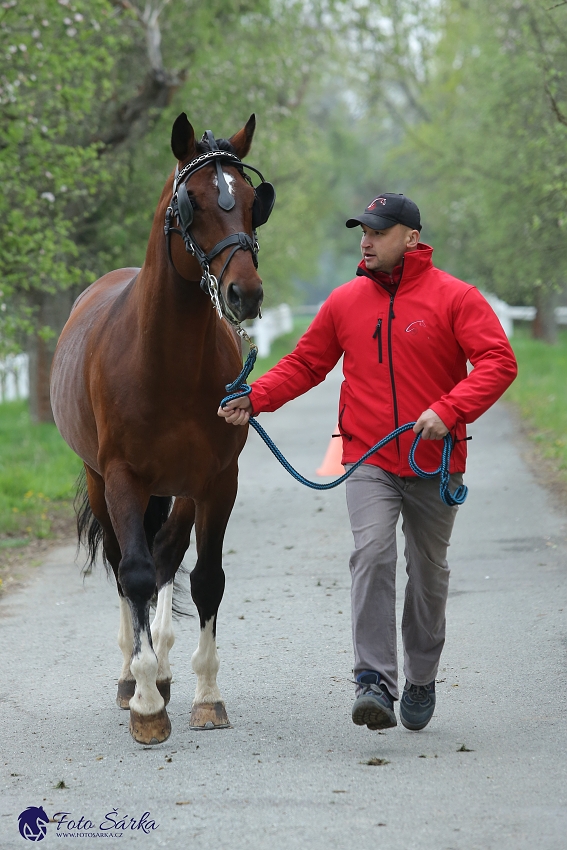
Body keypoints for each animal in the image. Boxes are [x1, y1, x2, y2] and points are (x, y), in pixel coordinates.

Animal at [50, 114, 276, 744]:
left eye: (252, 202)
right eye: (189, 204)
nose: (245, 293)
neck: (166, 362)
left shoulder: (217, 482)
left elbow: (206, 579)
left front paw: (205, 696)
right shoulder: (124, 477)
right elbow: (134, 573)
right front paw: (147, 703)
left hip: (179, 491)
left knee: (168, 556)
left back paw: (167, 670)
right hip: (101, 481)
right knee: (128, 568)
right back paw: (135, 675)